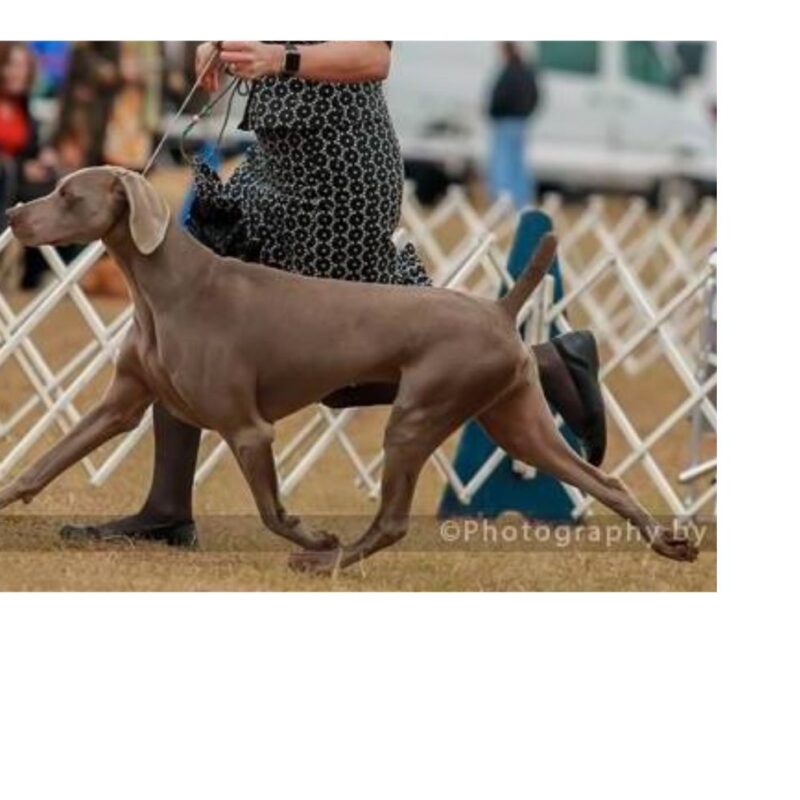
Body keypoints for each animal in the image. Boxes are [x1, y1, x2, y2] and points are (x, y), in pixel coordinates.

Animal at [0, 167, 696, 568]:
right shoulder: (120, 404)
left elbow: (272, 510)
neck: (164, 287)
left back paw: (331, 561)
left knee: (392, 521)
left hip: (418, 412)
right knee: (605, 480)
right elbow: (42, 462)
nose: (11, 213)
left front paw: (313, 540)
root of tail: (498, 309)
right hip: (514, 421)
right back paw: (668, 541)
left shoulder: (248, 428)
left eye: (67, 194)